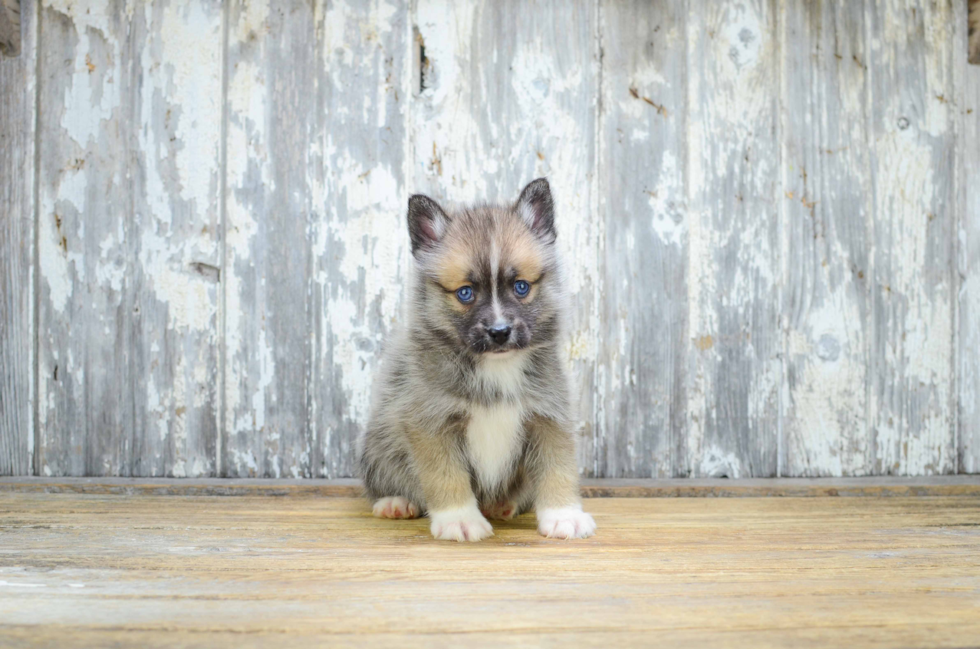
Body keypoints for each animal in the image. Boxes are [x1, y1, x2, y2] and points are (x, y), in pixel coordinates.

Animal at [356, 177, 592, 540]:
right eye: (465, 293)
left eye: (521, 287)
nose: (499, 331)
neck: (496, 367)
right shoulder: (430, 422)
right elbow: (445, 475)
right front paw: (459, 519)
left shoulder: (549, 417)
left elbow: (558, 467)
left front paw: (563, 515)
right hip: (377, 443)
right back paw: (394, 502)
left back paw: (504, 505)